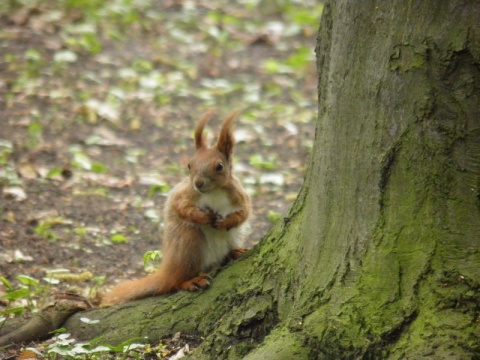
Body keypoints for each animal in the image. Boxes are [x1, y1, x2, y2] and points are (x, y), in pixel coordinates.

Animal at [101, 111, 251, 306]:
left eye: (219, 166)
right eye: (189, 165)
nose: (198, 183)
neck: (214, 192)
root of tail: (168, 270)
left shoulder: (239, 196)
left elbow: (245, 212)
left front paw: (226, 221)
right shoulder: (184, 194)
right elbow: (180, 207)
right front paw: (203, 217)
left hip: (233, 237)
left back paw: (236, 252)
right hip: (189, 242)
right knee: (175, 282)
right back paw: (191, 281)